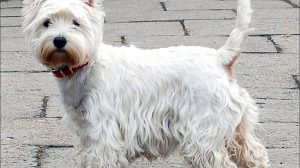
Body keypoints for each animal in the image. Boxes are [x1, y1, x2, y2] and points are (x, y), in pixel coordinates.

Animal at [21, 0, 270, 167]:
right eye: (46, 23)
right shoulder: (85, 130)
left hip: (204, 132)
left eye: (76, 23)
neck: (84, 65)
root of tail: (221, 57)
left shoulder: (104, 131)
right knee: (255, 154)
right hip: (237, 128)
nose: (59, 40)